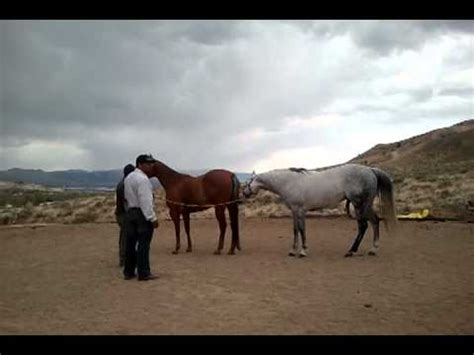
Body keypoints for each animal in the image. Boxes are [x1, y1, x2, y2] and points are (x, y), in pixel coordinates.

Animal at [243, 164, 398, 258]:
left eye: (248, 182)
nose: (244, 193)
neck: (289, 182)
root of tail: (371, 170)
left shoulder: (299, 210)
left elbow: (301, 229)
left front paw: (302, 251)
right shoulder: (295, 211)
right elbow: (296, 229)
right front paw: (293, 251)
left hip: (360, 204)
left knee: (365, 225)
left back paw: (356, 251)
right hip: (363, 205)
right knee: (372, 222)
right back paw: (367, 249)